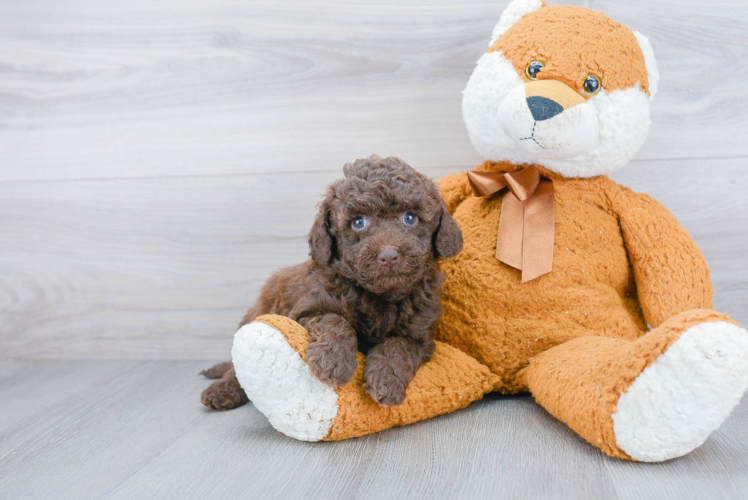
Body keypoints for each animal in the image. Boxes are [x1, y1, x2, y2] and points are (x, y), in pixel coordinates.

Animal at [202, 156, 464, 410]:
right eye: (358, 222)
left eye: (410, 218)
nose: (389, 255)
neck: (380, 296)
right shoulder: (306, 309)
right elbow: (335, 321)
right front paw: (333, 361)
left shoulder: (420, 335)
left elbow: (399, 346)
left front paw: (386, 380)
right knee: (235, 367)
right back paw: (222, 391)